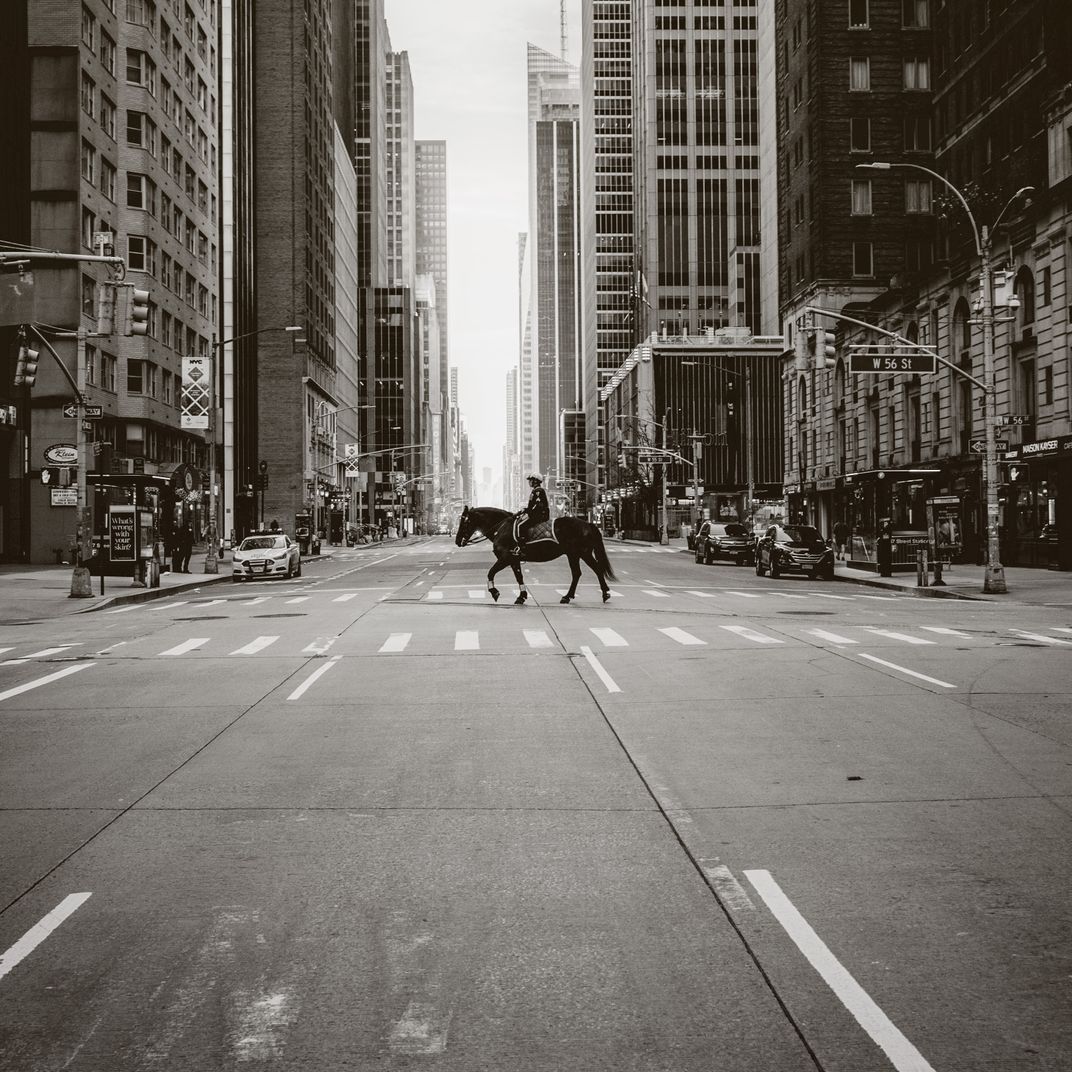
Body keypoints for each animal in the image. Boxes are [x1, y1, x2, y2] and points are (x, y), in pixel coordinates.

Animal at [456, 503, 617, 604]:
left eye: (464, 521)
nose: (457, 541)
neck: (501, 528)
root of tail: (588, 524)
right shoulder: (513, 559)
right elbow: (519, 577)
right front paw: (521, 596)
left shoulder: (505, 558)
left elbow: (490, 572)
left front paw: (494, 592)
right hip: (573, 555)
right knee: (577, 573)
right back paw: (567, 597)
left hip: (583, 553)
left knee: (597, 569)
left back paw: (605, 593)